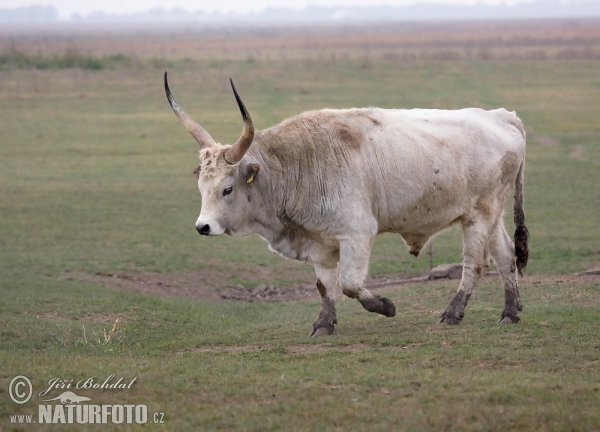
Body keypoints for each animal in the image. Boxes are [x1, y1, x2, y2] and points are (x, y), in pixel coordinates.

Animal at [162, 73, 528, 338]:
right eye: (201, 187)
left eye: (227, 189)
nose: (203, 227)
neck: (297, 163)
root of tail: (502, 117)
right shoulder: (319, 240)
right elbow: (325, 285)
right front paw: (324, 324)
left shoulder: (356, 233)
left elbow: (350, 283)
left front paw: (385, 306)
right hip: (490, 215)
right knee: (506, 256)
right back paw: (509, 313)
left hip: (479, 214)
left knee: (474, 265)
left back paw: (453, 313)